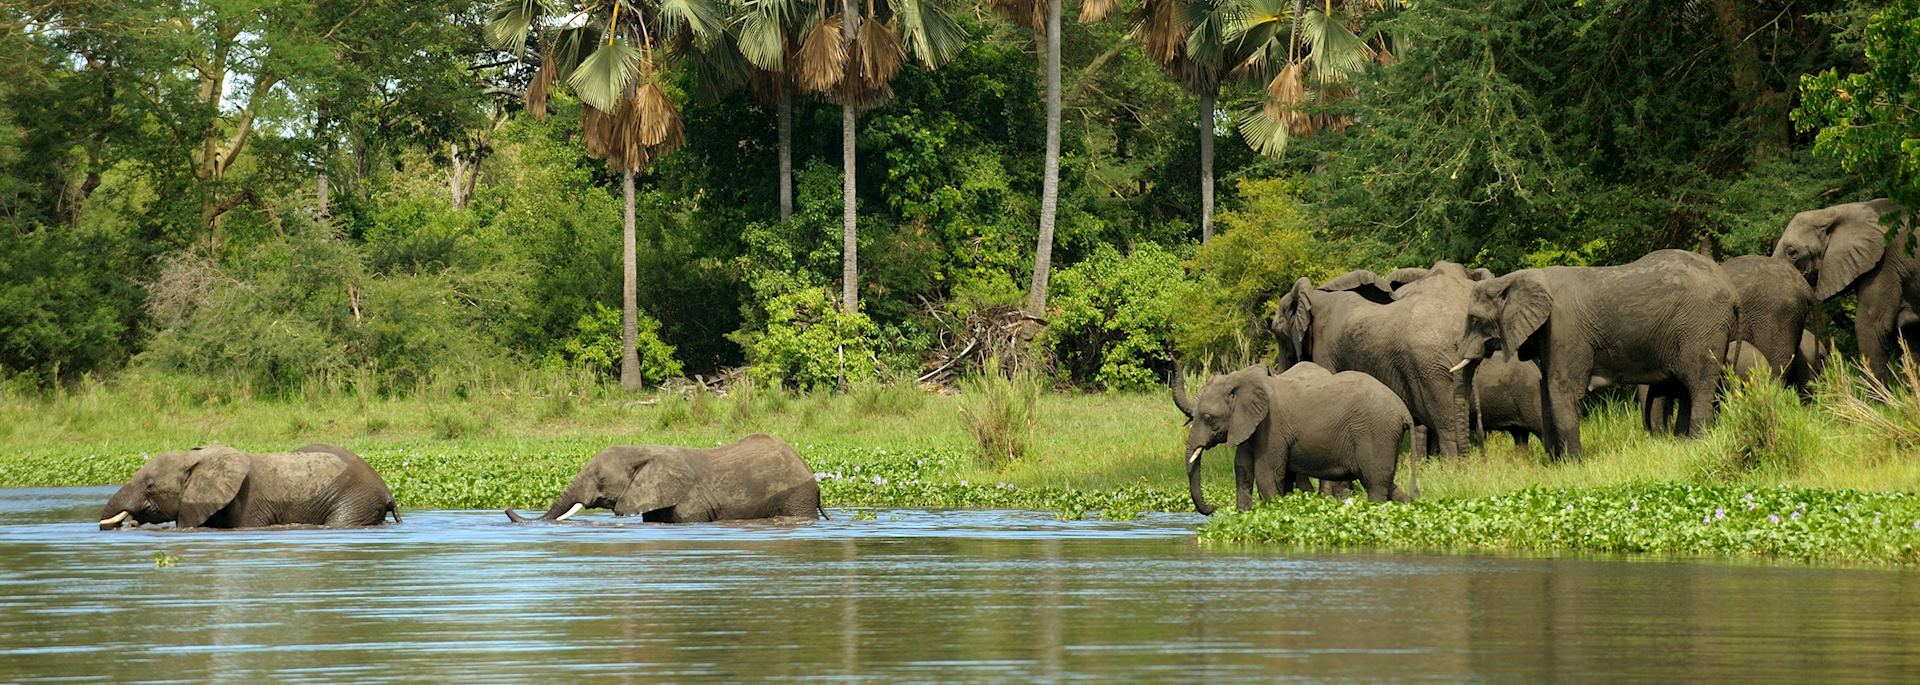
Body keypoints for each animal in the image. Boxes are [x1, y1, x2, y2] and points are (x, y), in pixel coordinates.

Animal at [1159, 362, 1420, 514]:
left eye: (1208, 417)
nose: (1212, 507)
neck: (1239, 381)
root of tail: (1403, 411)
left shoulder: (1272, 426)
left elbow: (1266, 474)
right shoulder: (1248, 425)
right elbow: (1242, 470)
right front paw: (1244, 515)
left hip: (1377, 433)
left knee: (1375, 484)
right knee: (1387, 484)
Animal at [1451, 247, 1743, 458]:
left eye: (1475, 320)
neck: (1514, 278)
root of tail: (1732, 291)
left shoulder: (1565, 326)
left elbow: (1562, 388)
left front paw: (1571, 465)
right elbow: (1546, 387)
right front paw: (1556, 463)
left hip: (1702, 326)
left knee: (1699, 385)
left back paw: (1696, 443)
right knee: (1686, 389)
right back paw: (1683, 444)